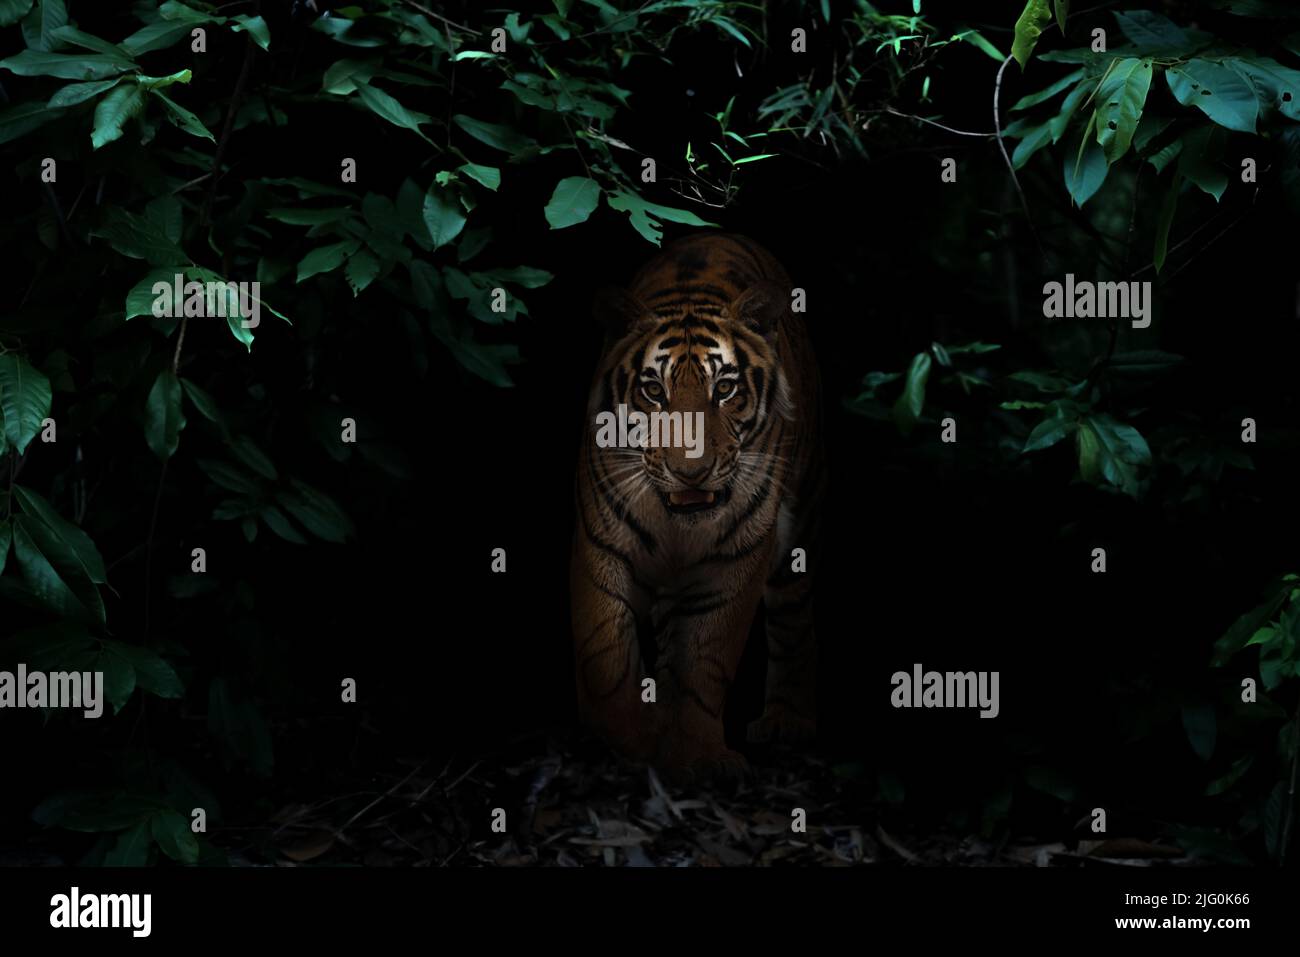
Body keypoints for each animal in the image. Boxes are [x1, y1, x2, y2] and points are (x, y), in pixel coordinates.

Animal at [570, 232, 824, 782]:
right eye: (653, 391)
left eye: (724, 388)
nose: (692, 473)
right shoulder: (600, 548)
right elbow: (607, 656)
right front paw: (635, 740)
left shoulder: (736, 560)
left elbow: (705, 661)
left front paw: (701, 756)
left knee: (794, 617)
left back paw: (786, 721)